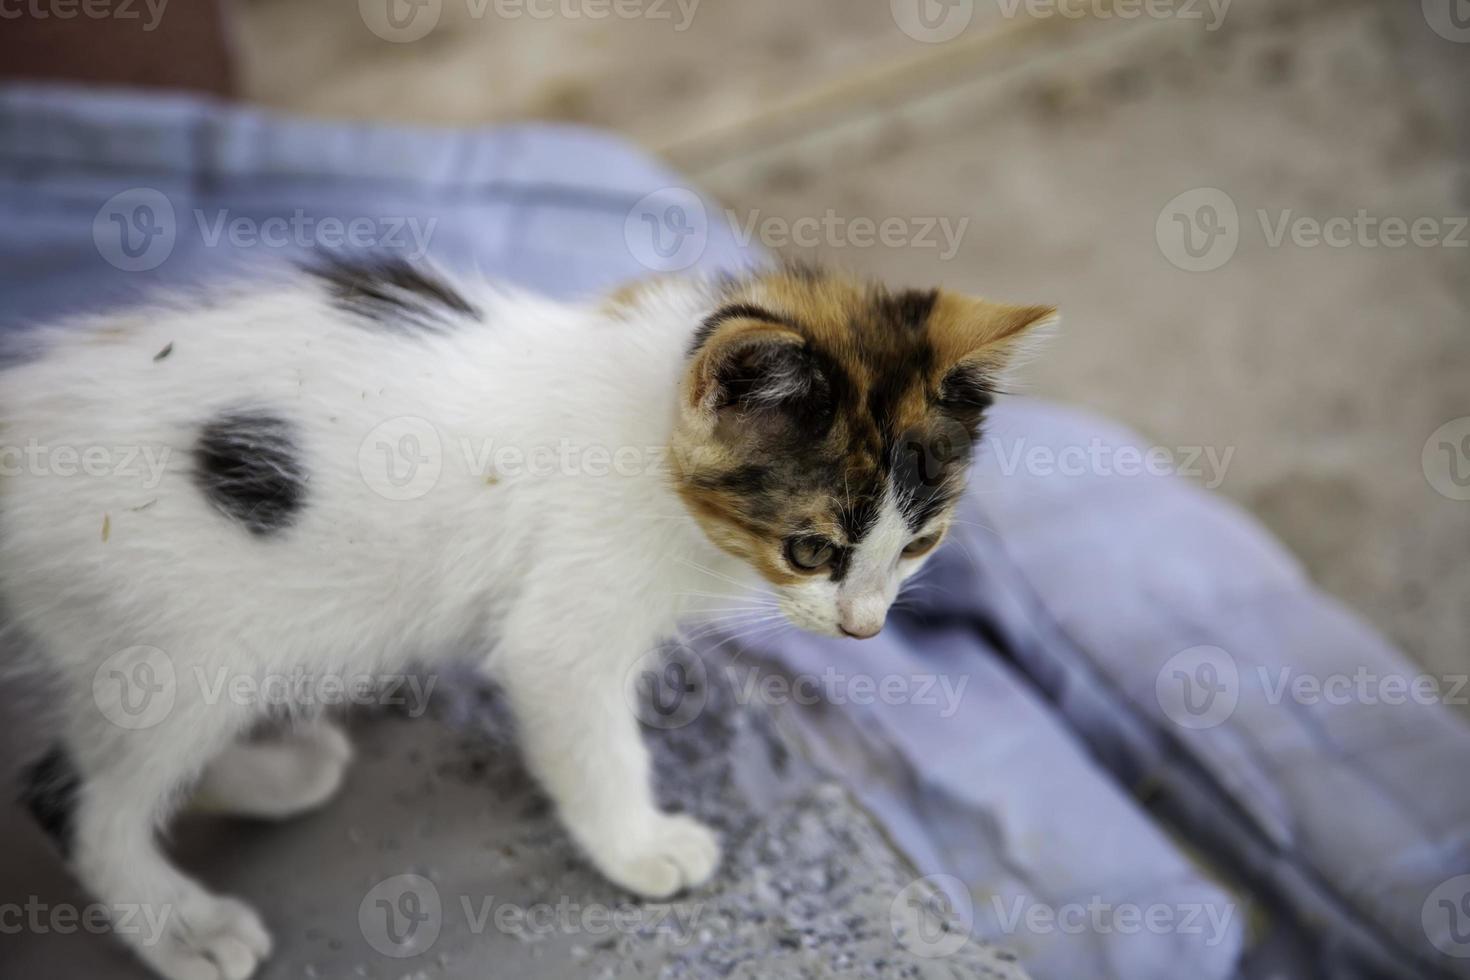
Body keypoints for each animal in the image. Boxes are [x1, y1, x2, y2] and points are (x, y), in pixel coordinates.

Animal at [2, 258, 1058, 980]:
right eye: (811, 548)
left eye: (919, 546)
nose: (864, 629)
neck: (642, 436)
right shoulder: (563, 630)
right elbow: (591, 740)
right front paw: (641, 848)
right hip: (180, 638)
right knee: (72, 794)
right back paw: (186, 925)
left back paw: (278, 774)